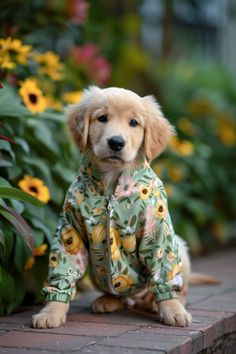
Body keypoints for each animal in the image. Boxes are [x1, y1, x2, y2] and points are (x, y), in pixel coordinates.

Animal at [32, 85, 193, 330]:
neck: (111, 182)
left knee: (175, 290)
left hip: (180, 248)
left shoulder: (157, 228)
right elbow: (64, 270)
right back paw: (107, 301)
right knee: (120, 298)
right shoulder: (69, 228)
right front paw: (51, 310)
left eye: (134, 123)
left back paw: (157, 304)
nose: (116, 142)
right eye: (102, 118)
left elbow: (162, 272)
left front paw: (172, 310)